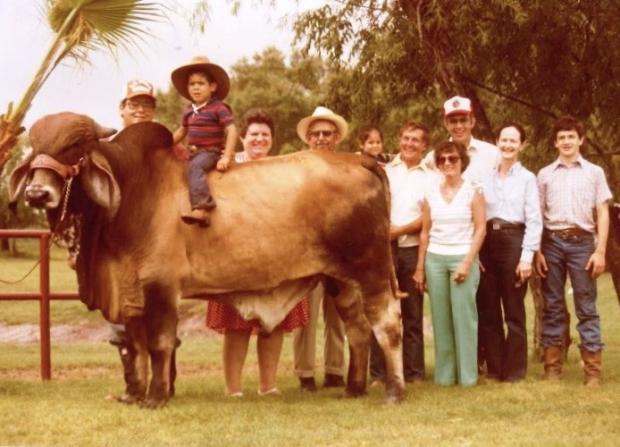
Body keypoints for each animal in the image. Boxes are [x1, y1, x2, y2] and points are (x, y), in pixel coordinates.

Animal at [8, 111, 406, 406]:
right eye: (35, 148)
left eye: (75, 146)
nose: (37, 193)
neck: (132, 193)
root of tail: (361, 159)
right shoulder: (130, 288)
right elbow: (135, 346)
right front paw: (134, 394)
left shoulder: (161, 285)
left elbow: (160, 343)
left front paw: (156, 397)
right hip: (342, 279)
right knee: (358, 328)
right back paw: (353, 388)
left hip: (371, 270)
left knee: (386, 323)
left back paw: (393, 392)